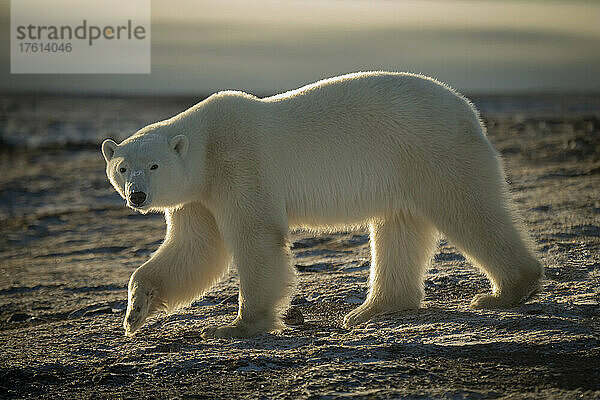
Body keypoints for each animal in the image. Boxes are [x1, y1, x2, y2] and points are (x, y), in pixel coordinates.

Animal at [102, 72, 544, 338]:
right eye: (123, 167)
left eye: (154, 165)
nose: (138, 195)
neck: (207, 143)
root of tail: (468, 109)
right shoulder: (199, 196)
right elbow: (196, 248)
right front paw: (135, 311)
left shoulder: (238, 164)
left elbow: (256, 237)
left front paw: (237, 326)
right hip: (402, 170)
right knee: (398, 227)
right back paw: (374, 309)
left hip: (432, 150)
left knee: (469, 209)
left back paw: (504, 292)